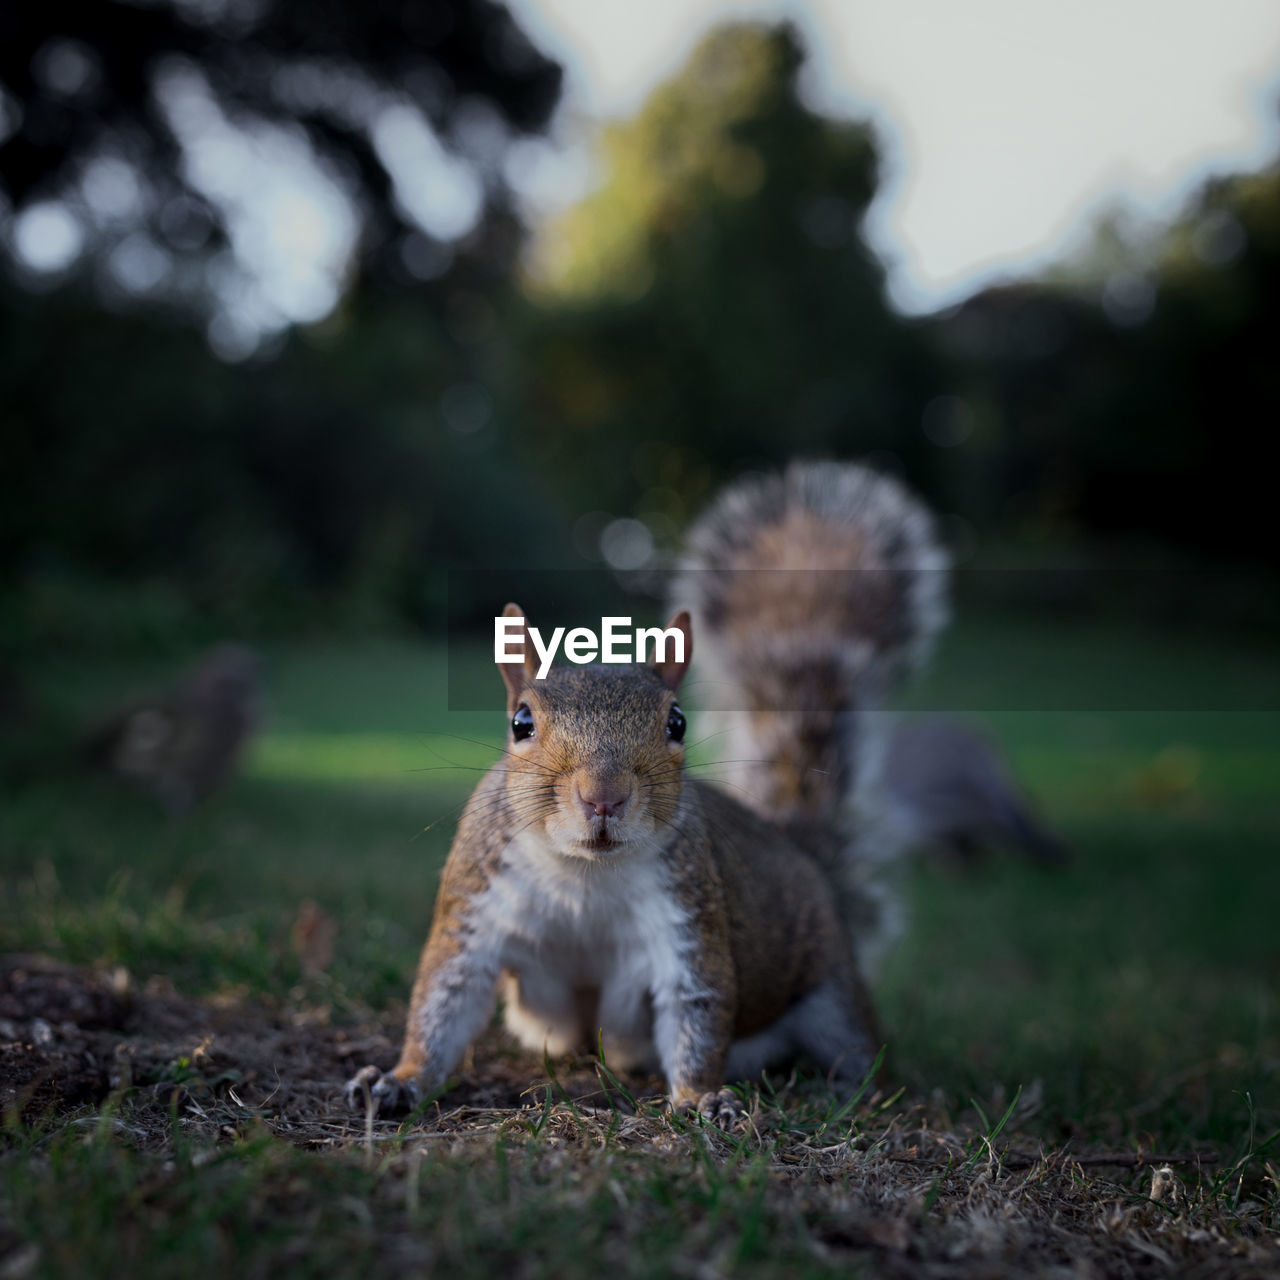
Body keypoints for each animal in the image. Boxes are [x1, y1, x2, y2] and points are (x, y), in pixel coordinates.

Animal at [345, 458, 947, 1121]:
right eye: (520, 722)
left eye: (677, 722)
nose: (603, 796)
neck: (583, 875)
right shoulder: (474, 908)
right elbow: (444, 1002)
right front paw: (397, 1080)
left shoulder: (688, 918)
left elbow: (697, 1010)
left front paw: (702, 1098)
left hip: (829, 987)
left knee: (855, 1046)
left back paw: (846, 1088)